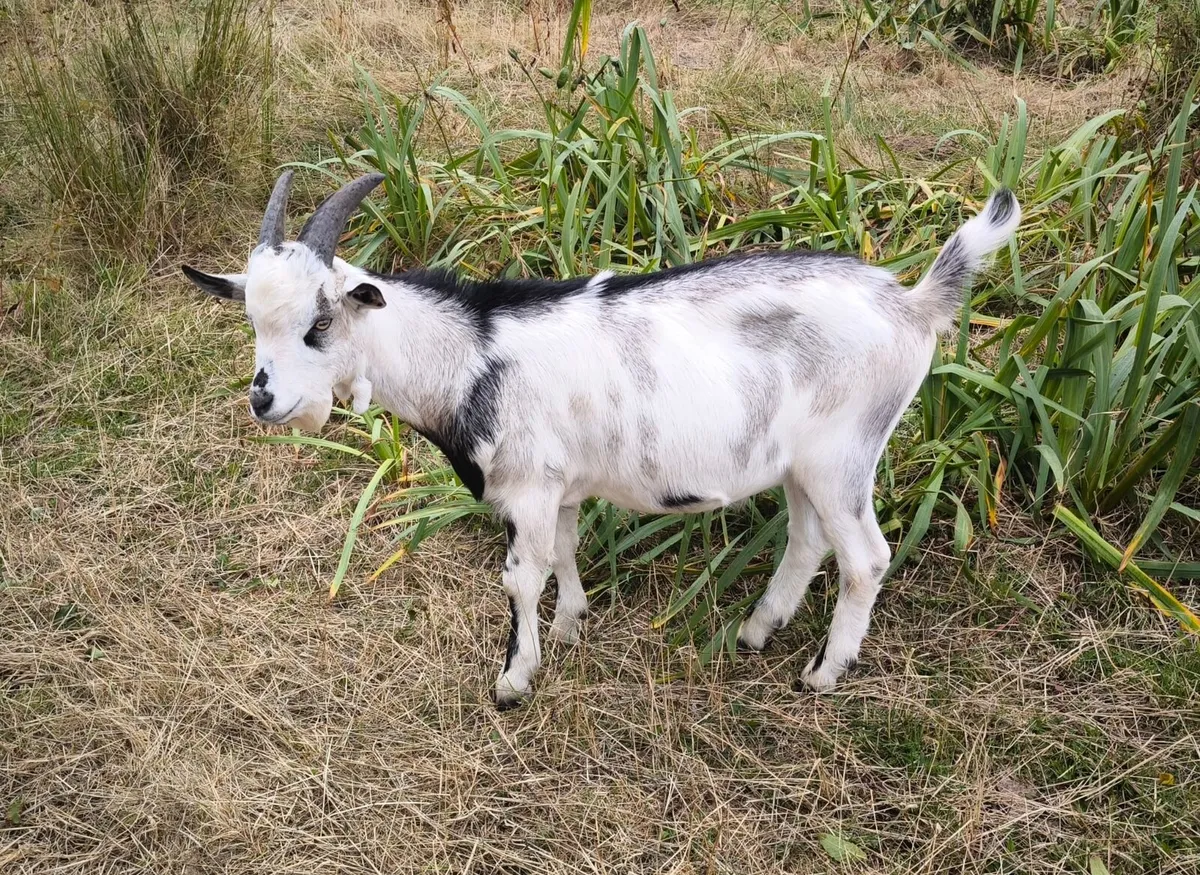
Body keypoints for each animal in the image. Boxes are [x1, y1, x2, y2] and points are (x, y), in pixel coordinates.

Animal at [183, 172, 1020, 708]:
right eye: (251, 318)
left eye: (320, 322)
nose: (265, 397)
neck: (471, 353)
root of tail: (914, 305)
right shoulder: (559, 483)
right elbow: (565, 550)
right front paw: (572, 626)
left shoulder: (525, 486)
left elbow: (521, 576)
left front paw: (514, 679)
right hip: (804, 463)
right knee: (810, 539)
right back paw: (756, 630)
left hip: (844, 454)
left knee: (865, 557)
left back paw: (821, 672)